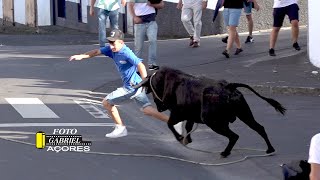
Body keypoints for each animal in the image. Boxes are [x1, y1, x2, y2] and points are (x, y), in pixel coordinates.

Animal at [134, 67, 286, 157]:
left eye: (151, 89)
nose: (159, 107)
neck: (168, 82)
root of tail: (229, 87)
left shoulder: (177, 114)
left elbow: (170, 124)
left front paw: (180, 138)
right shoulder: (190, 116)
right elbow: (187, 126)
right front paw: (187, 139)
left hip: (214, 122)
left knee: (234, 136)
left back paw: (225, 152)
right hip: (245, 114)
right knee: (259, 128)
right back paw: (270, 149)